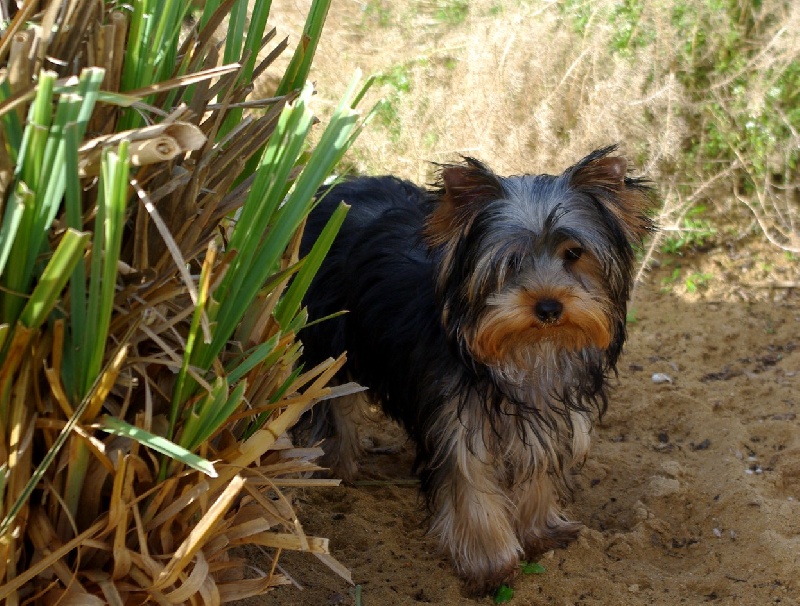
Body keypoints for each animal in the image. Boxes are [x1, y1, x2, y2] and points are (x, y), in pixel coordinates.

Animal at [296, 146, 652, 592]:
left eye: (574, 253)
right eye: (511, 260)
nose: (549, 307)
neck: (529, 351)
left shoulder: (546, 412)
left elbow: (538, 466)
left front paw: (539, 533)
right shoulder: (457, 419)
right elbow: (470, 483)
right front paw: (490, 564)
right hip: (324, 332)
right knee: (330, 396)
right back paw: (334, 466)